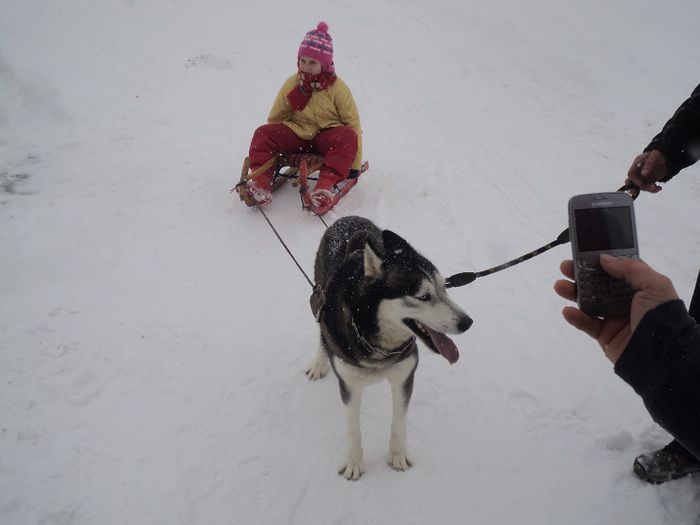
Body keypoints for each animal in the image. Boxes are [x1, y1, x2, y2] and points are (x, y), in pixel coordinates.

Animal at [304, 214, 474, 478]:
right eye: (423, 296)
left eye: (444, 288)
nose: (467, 322)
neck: (379, 345)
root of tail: (349, 218)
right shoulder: (350, 385)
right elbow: (353, 429)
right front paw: (353, 462)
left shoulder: (404, 378)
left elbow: (399, 423)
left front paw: (397, 455)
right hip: (320, 299)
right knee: (322, 334)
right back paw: (319, 362)